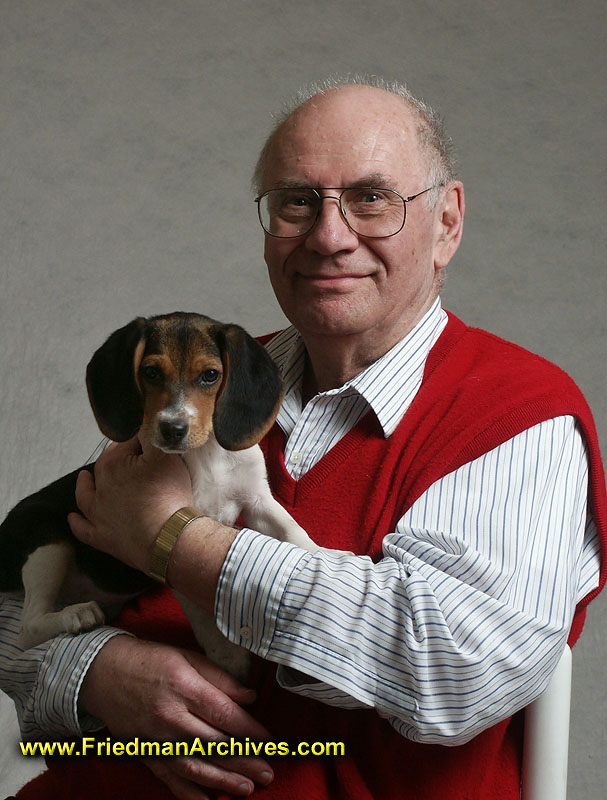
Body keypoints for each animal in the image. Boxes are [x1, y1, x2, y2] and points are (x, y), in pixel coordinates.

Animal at [0, 316, 320, 680]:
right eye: (151, 372)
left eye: (210, 375)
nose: (172, 429)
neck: (206, 454)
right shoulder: (175, 533)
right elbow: (200, 612)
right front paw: (225, 654)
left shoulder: (257, 500)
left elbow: (292, 530)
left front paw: (321, 554)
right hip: (45, 536)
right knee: (27, 629)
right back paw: (75, 616)